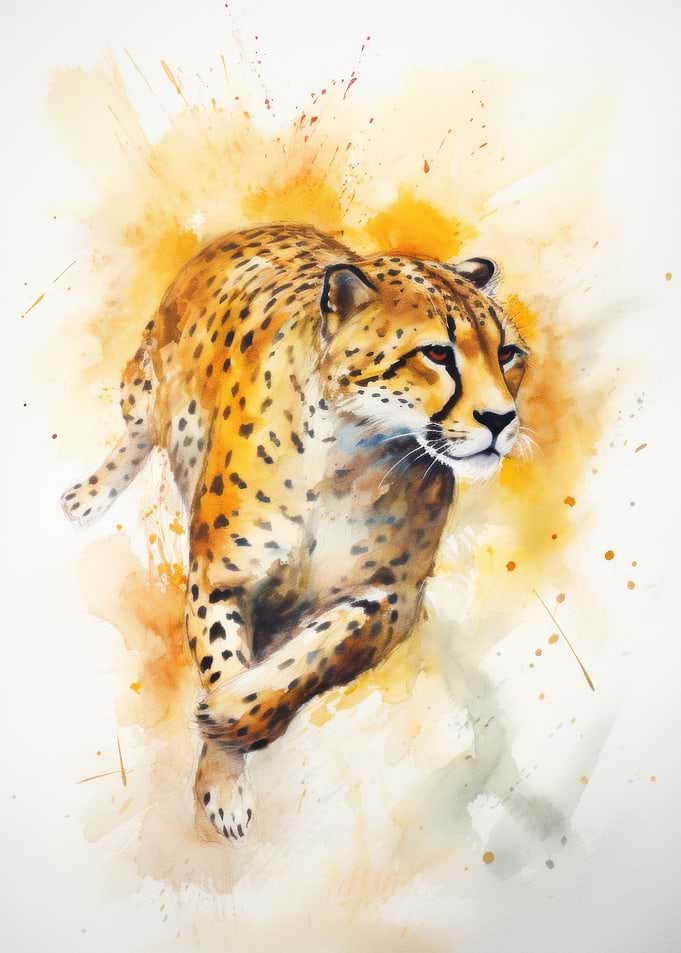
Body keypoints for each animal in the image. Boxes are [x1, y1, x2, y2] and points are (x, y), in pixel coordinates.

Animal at [62, 222, 529, 843]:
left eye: (508, 355)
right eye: (435, 353)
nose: (502, 419)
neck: (352, 457)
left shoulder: (390, 597)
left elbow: (315, 656)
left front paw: (234, 715)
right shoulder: (219, 578)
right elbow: (220, 660)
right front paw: (223, 781)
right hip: (145, 384)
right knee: (140, 434)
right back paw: (87, 498)